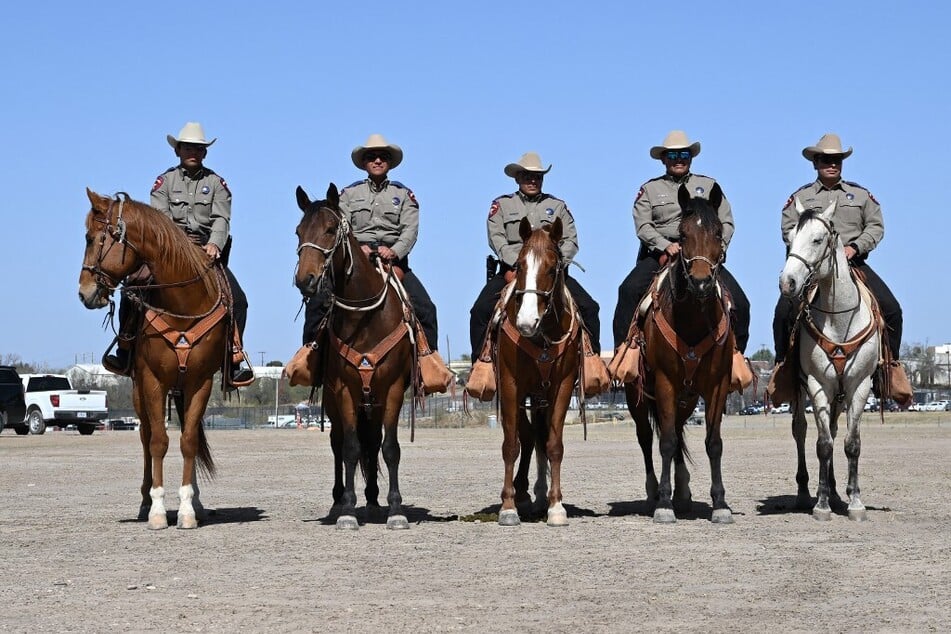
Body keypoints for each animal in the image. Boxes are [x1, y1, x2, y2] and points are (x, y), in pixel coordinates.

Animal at [78, 189, 231, 528]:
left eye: (92, 238)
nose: (84, 292)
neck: (183, 305)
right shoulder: (151, 380)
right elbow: (158, 441)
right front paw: (158, 509)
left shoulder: (200, 382)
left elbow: (188, 441)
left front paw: (187, 509)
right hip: (140, 393)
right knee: (146, 437)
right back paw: (145, 502)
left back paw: (196, 502)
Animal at [294, 181, 412, 528]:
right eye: (298, 231)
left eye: (331, 229)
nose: (304, 280)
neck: (366, 318)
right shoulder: (344, 389)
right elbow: (348, 448)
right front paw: (347, 510)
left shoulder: (393, 388)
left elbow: (389, 448)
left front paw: (396, 510)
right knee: (340, 443)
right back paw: (340, 502)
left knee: (372, 443)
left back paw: (373, 500)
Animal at [624, 183, 736, 524]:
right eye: (682, 234)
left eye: (717, 232)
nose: (700, 282)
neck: (692, 319)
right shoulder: (665, 383)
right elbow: (666, 441)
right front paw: (663, 504)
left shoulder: (717, 385)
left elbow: (714, 442)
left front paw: (720, 504)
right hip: (638, 394)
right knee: (647, 437)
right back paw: (654, 492)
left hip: (687, 398)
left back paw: (683, 491)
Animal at [776, 198, 880, 520]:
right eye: (789, 238)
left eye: (818, 239)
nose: (788, 282)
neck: (839, 317)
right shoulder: (817, 383)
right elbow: (823, 445)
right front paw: (820, 504)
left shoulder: (859, 385)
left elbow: (851, 443)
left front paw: (855, 501)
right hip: (803, 391)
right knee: (800, 431)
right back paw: (804, 493)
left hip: (840, 393)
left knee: (835, 431)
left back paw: (836, 491)